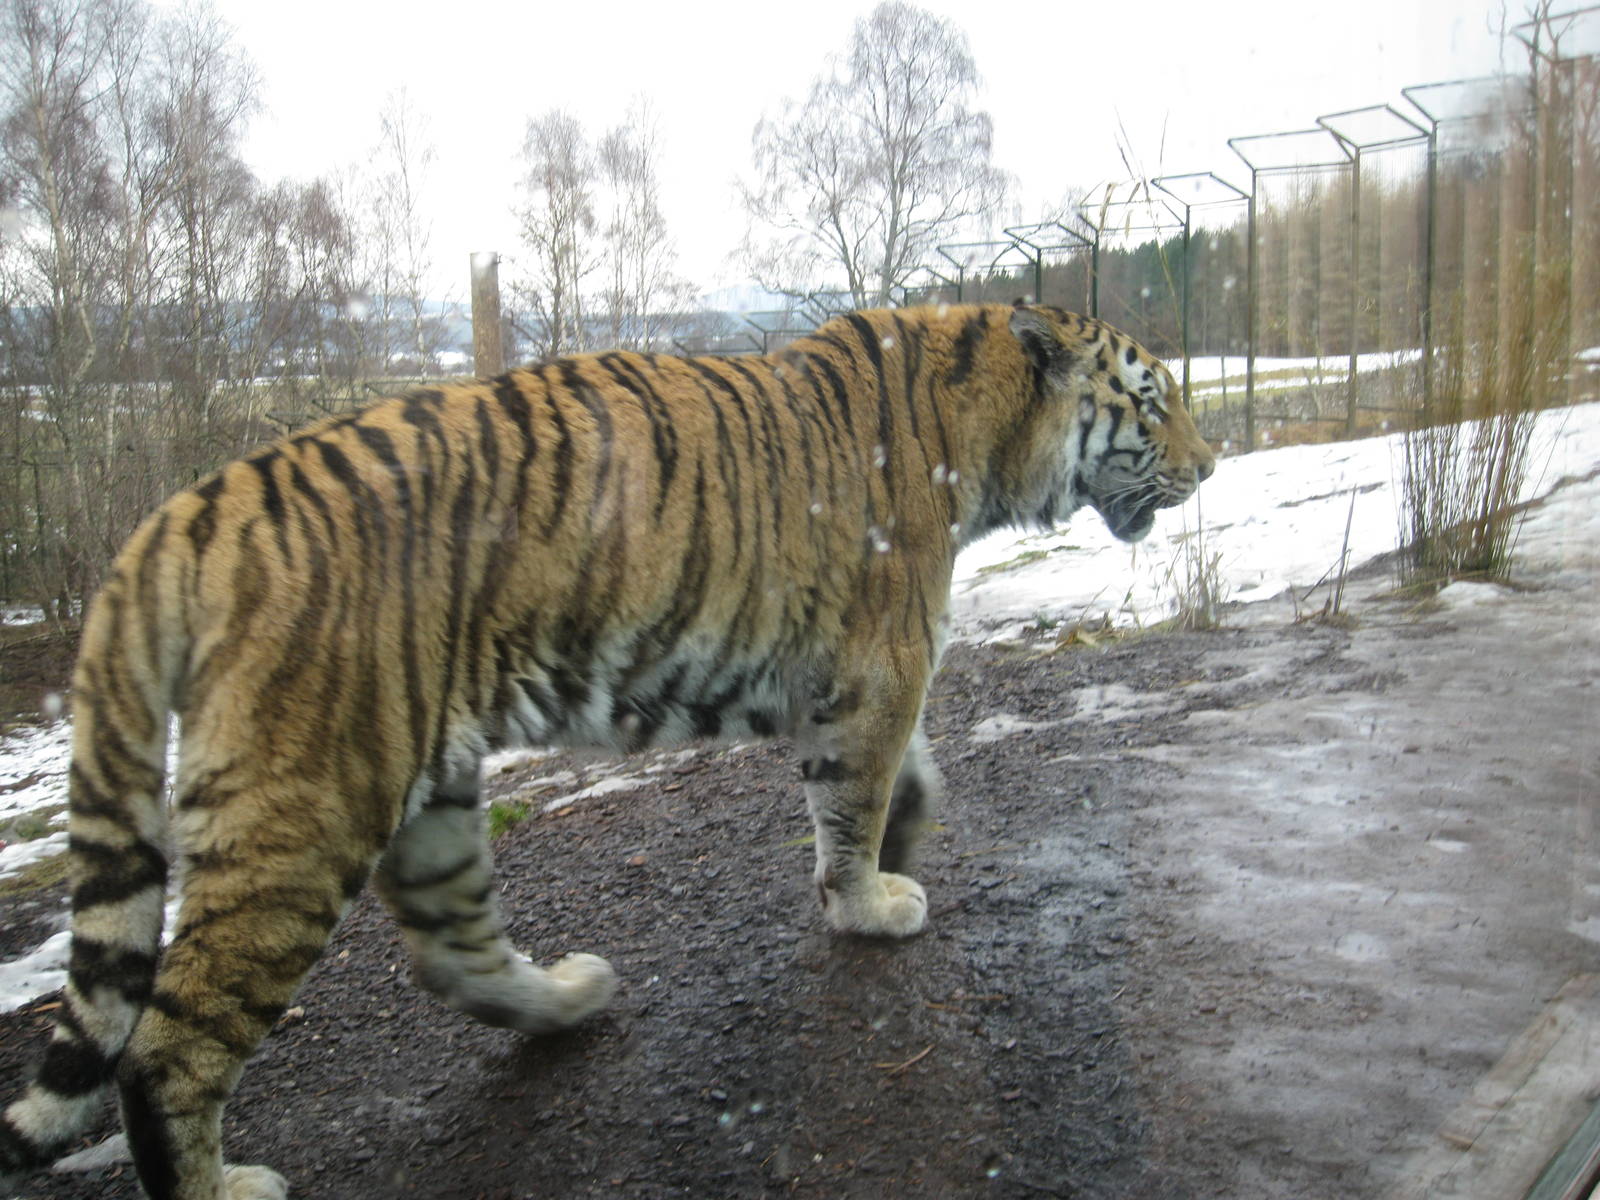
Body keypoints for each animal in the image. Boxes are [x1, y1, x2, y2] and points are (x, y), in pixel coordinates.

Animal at [0, 301, 1212, 1199]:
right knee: (169, 1044)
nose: (1209, 466)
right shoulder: (879, 663)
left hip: (429, 786)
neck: (981, 429)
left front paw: (902, 846)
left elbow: (897, 777)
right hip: (305, 810)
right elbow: (854, 795)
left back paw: (567, 999)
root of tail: (185, 512)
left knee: (451, 948)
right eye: (1153, 402)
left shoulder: (848, 677)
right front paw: (870, 902)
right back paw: (225, 1182)